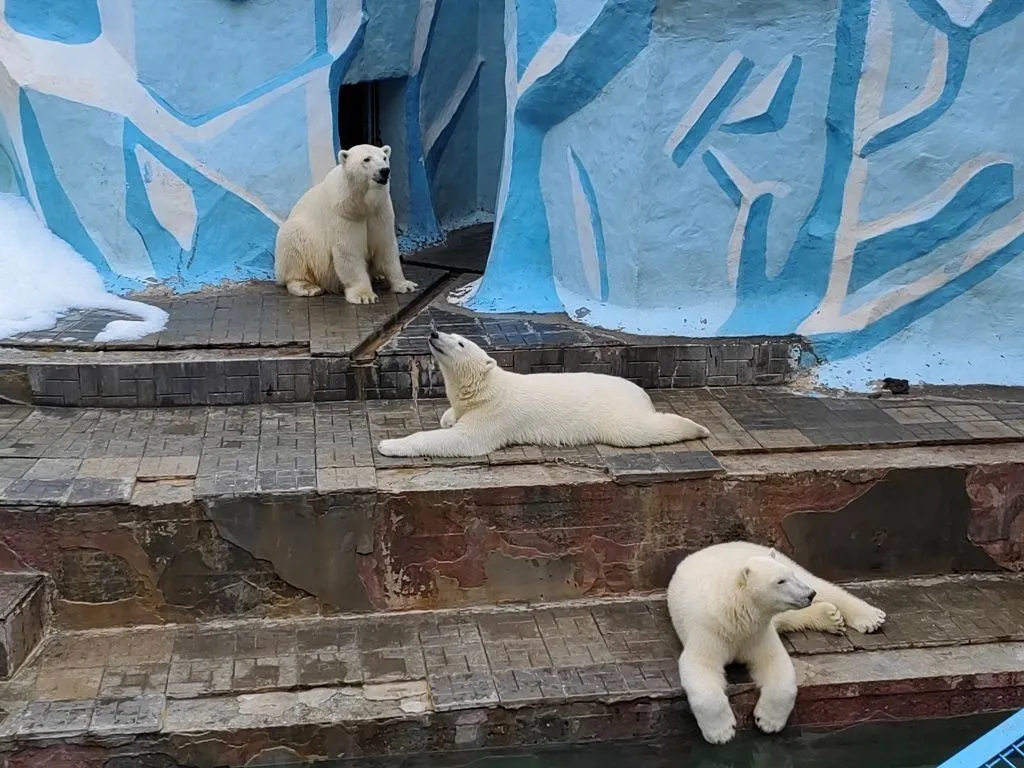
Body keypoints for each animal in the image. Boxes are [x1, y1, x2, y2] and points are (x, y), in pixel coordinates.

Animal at [274, 143, 417, 303]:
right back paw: (308, 287)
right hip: (299, 238)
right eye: (366, 159)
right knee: (293, 245)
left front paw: (405, 285)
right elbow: (348, 250)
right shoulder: (344, 214)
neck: (360, 204)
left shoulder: (380, 210)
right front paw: (364, 296)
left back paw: (378, 275)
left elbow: (385, 246)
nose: (384, 170)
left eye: (384, 157)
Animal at [667, 540, 884, 745]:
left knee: (823, 588)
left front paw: (767, 722)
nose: (809, 594)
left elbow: (773, 660)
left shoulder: (757, 633)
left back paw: (869, 617)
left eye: (789, 576)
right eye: (780, 581)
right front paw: (721, 733)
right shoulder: (710, 630)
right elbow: (700, 664)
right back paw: (830, 617)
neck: (734, 612)